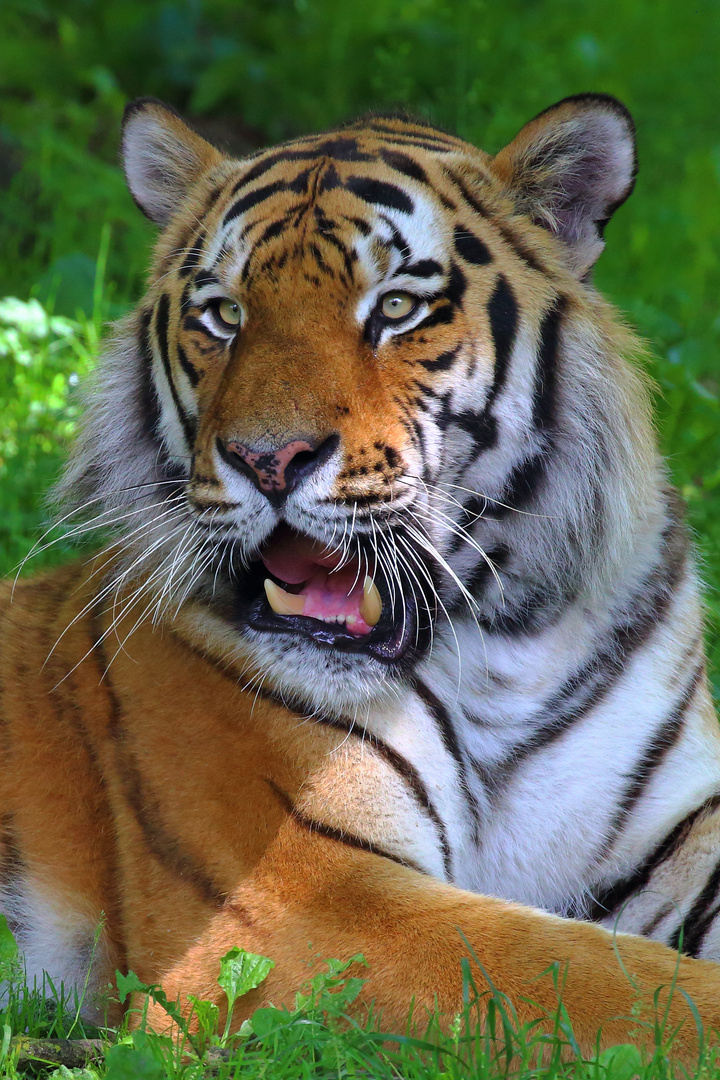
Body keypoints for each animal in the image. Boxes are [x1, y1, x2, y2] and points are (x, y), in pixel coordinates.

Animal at [1, 92, 720, 1054]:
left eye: (398, 307)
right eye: (224, 315)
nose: (267, 459)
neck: (501, 644)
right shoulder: (295, 898)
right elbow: (596, 975)